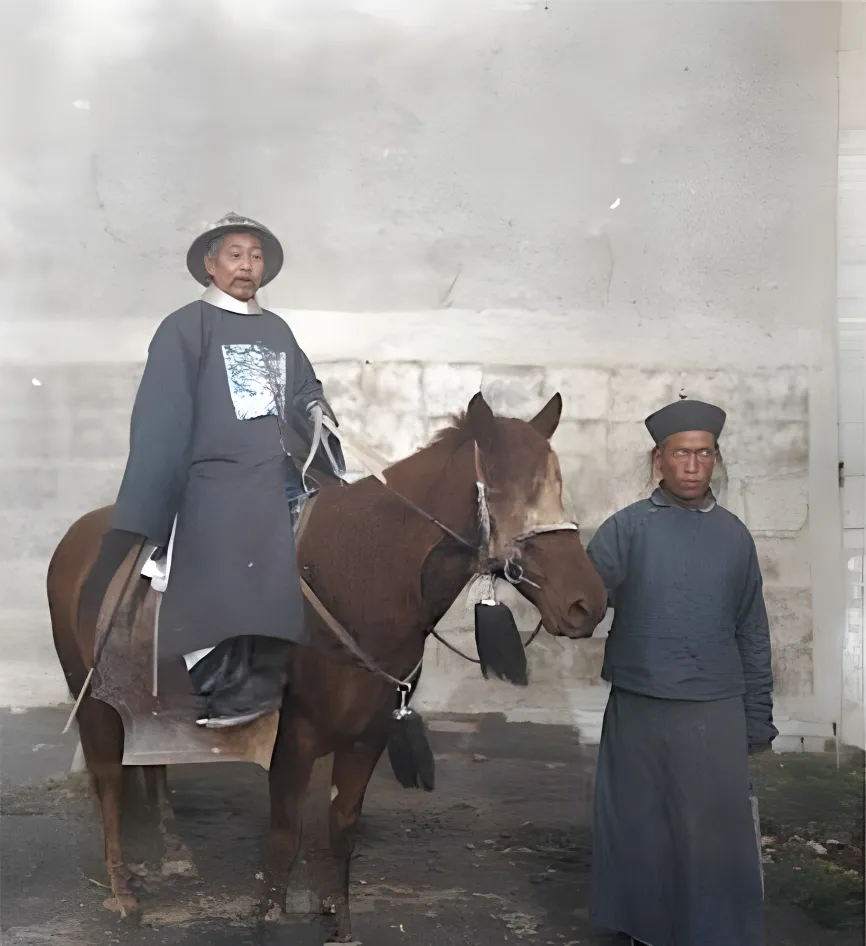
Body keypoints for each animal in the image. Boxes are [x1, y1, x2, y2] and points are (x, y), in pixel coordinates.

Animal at [47, 392, 608, 941]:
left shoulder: (367, 737)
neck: (357, 577)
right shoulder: (291, 740)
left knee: (154, 767)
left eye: (557, 488)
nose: (589, 604)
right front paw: (270, 920)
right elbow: (284, 838)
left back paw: (173, 854)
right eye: (506, 491)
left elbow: (342, 828)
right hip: (92, 697)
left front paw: (340, 922)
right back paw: (123, 891)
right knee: (109, 783)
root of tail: (78, 535)